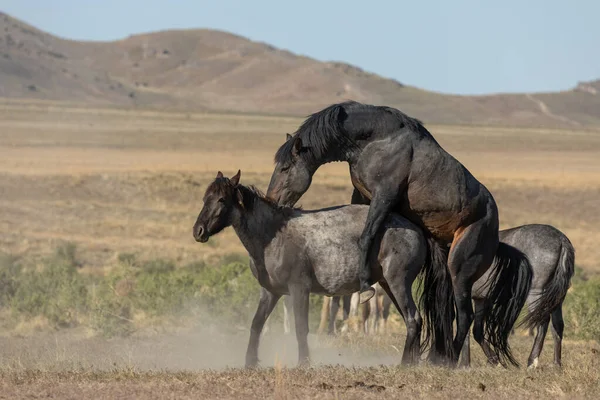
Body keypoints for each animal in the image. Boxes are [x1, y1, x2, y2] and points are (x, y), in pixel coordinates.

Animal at [195, 170, 434, 368]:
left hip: (397, 283)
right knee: (412, 321)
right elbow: (256, 324)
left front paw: (304, 362)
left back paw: (404, 364)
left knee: (413, 318)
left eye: (221, 199)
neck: (273, 237)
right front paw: (250, 362)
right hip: (388, 286)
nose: (198, 231)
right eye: (205, 198)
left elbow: (301, 327)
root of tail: (416, 229)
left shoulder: (299, 289)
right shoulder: (270, 292)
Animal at [264, 101, 536, 368]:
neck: (374, 139)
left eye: (285, 167)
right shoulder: (362, 195)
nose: (271, 200)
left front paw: (365, 284)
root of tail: (495, 237)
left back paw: (449, 360)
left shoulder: (384, 196)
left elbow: (366, 235)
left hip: (460, 269)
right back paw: (436, 357)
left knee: (465, 316)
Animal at [462, 223, 576, 368]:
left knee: (543, 322)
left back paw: (532, 362)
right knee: (557, 325)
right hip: (556, 297)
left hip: (536, 292)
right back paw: (556, 365)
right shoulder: (477, 298)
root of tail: (561, 239)